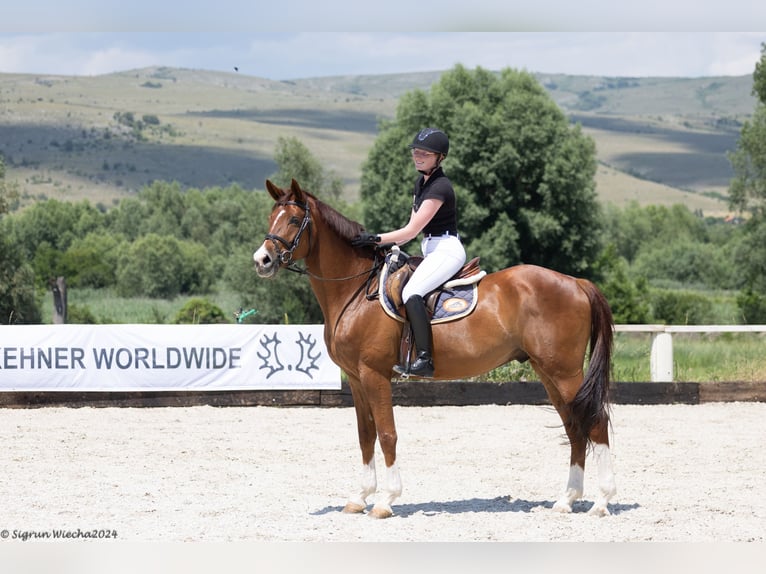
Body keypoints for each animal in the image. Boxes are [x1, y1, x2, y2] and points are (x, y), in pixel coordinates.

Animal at [254, 181, 616, 520]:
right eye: (272, 217)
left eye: (295, 220)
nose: (262, 260)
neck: (355, 292)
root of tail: (576, 282)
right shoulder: (356, 379)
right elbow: (365, 435)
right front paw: (359, 498)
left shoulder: (375, 375)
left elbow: (387, 434)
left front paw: (385, 501)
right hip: (547, 371)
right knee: (574, 425)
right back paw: (566, 500)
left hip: (565, 372)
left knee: (594, 422)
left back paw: (601, 502)